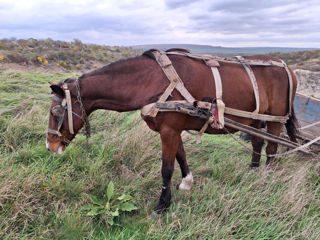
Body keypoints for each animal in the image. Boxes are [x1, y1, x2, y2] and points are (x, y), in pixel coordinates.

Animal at [46, 49, 298, 216]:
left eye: (56, 111)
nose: (50, 146)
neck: (151, 80)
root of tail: (288, 68)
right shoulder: (173, 131)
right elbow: (181, 156)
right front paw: (187, 182)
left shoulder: (168, 131)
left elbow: (166, 169)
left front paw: (162, 205)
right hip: (256, 120)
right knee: (257, 144)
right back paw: (253, 171)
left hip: (275, 120)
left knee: (272, 148)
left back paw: (266, 177)